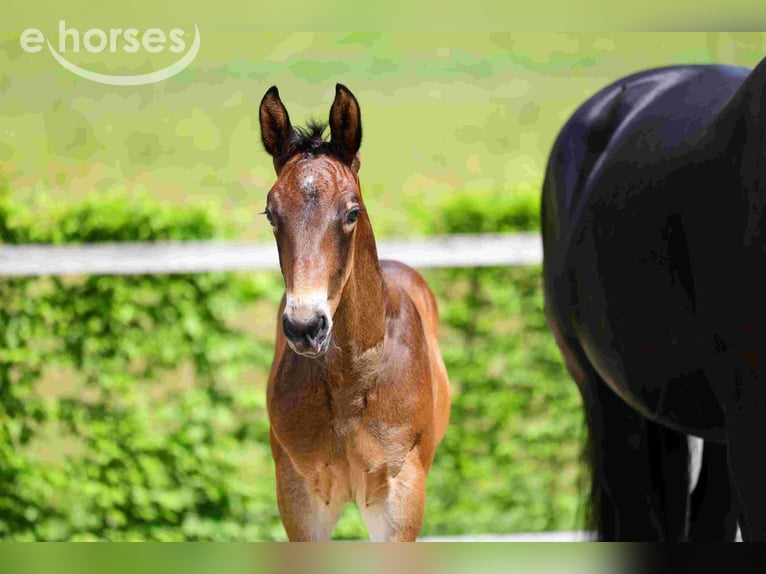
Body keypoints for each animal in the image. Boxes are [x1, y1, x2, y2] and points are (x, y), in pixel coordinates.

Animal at [259, 84, 451, 541]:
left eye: (352, 212)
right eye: (271, 213)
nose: (306, 327)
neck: (350, 384)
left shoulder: (398, 499)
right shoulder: (300, 497)